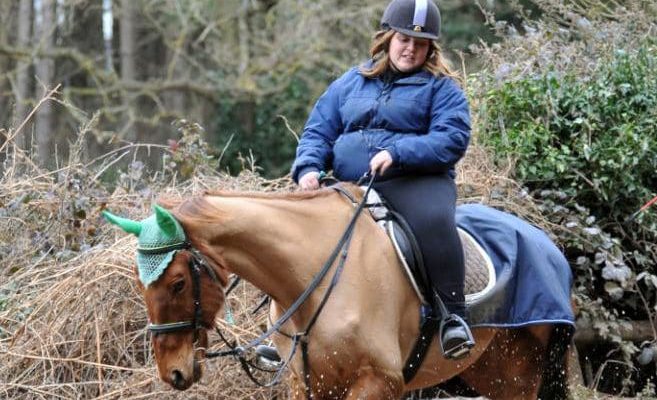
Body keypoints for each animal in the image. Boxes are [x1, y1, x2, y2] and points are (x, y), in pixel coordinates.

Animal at [104, 183, 574, 399]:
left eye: (178, 282)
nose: (173, 373)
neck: (311, 279)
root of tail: (547, 244)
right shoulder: (306, 382)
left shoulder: (377, 382)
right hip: (488, 373)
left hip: (520, 374)